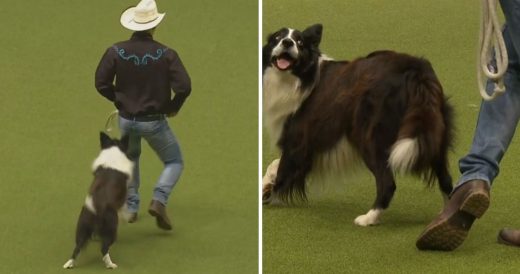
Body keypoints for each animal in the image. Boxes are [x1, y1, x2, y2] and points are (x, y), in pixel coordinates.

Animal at [63, 133, 133, 270]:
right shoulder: (122, 198)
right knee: (104, 248)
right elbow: (124, 209)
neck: (113, 150)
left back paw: (69, 264)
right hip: (111, 227)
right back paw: (111, 265)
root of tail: (97, 207)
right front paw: (127, 217)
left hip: (82, 226)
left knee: (77, 247)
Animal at [262, 23, 452, 226]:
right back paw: (446, 215)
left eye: (300, 42)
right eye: (277, 37)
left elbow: (282, 167)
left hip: (372, 137)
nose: (287, 42)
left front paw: (266, 193)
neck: (299, 78)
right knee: (446, 179)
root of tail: (416, 70)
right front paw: (266, 187)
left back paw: (369, 218)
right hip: (431, 132)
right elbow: (275, 164)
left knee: (387, 183)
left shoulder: (298, 138)